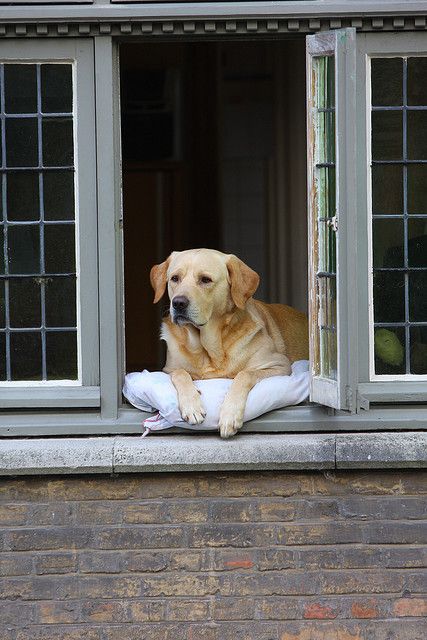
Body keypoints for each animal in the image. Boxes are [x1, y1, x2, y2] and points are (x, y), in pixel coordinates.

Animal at [152, 250, 310, 440]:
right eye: (175, 278)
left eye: (205, 279)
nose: (178, 303)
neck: (210, 348)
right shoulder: (169, 369)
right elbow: (180, 373)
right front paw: (192, 406)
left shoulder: (280, 365)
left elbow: (244, 374)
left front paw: (230, 415)